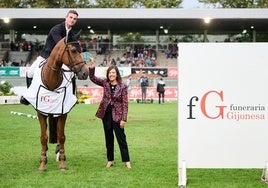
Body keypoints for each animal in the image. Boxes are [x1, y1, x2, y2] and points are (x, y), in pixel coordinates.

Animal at [36, 37, 88, 171]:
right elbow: (43, 137)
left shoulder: (63, 112)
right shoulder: (41, 112)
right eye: (74, 51)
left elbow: (61, 136)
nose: (85, 73)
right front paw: (42, 163)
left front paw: (62, 163)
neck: (51, 81)